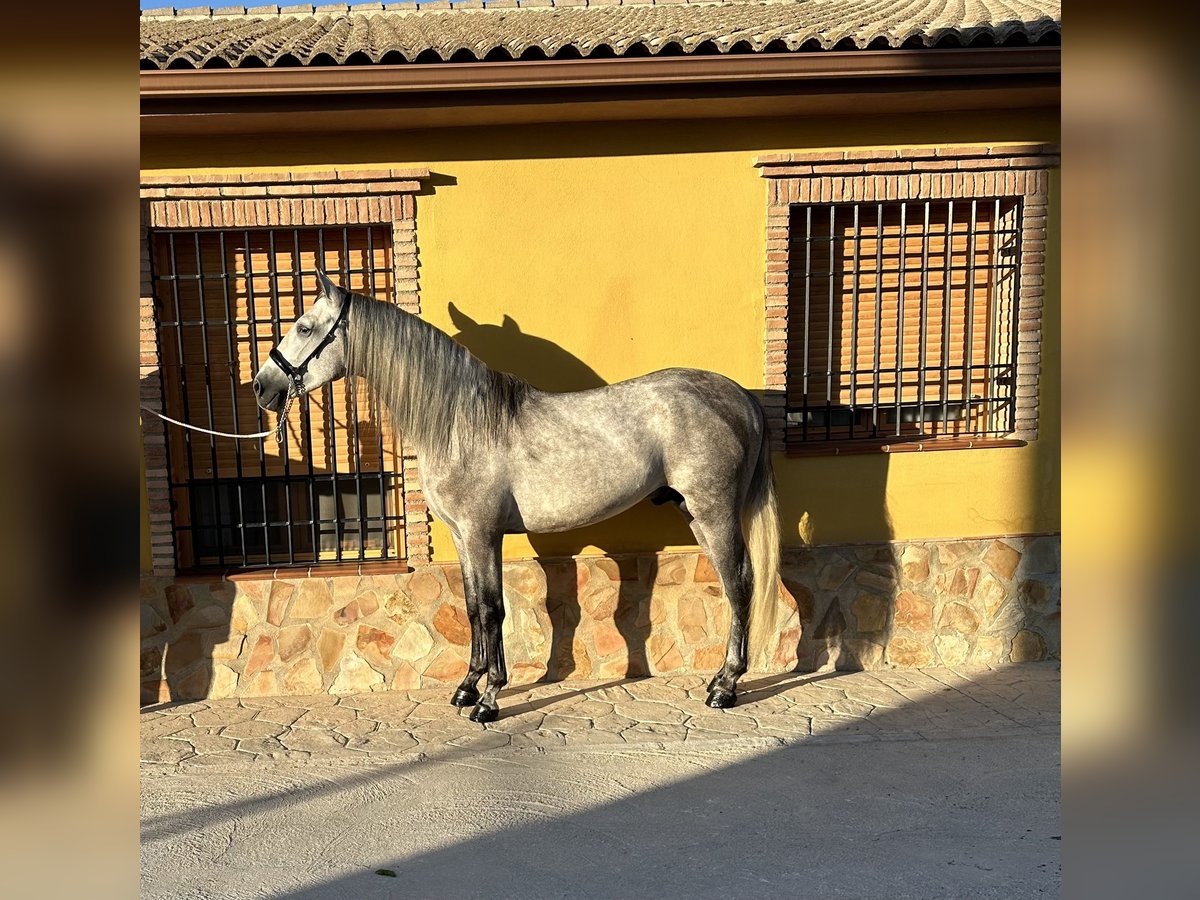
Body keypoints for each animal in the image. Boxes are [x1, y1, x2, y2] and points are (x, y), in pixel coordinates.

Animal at [253, 274, 777, 724]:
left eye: (304, 326)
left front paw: (488, 699)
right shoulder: (464, 537)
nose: (262, 386)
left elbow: (492, 609)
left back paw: (725, 687)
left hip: (713, 513)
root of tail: (740, 397)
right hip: (696, 514)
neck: (460, 423)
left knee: (739, 584)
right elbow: (471, 607)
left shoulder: (483, 533)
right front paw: (466, 687)